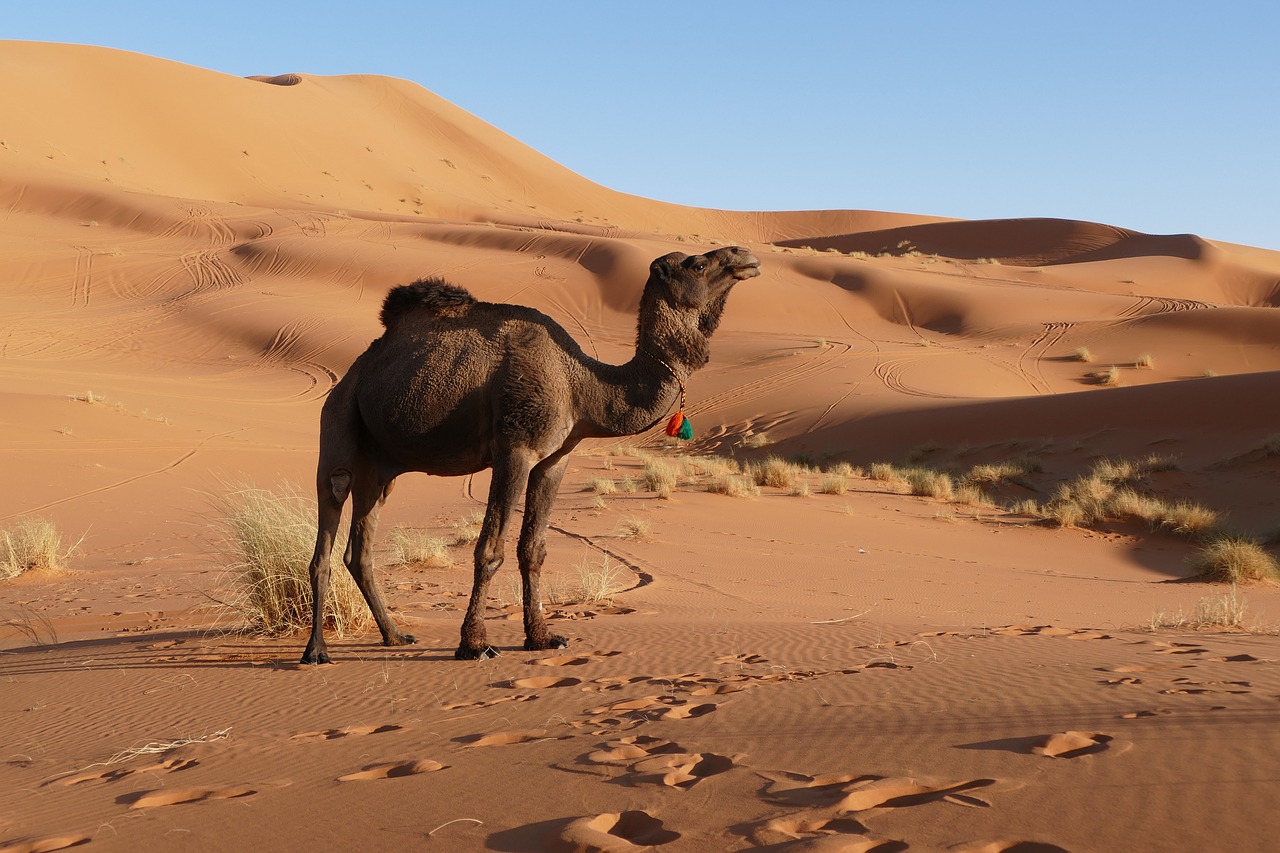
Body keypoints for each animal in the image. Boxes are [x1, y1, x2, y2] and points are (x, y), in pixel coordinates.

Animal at [299, 242, 757, 660]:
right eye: (698, 264)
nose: (745, 256)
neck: (582, 384)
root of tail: (351, 375)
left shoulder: (554, 459)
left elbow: (533, 549)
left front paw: (542, 637)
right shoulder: (515, 450)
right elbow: (490, 549)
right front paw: (475, 644)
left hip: (381, 467)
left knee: (360, 550)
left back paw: (394, 636)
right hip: (339, 422)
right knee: (328, 519)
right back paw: (316, 651)